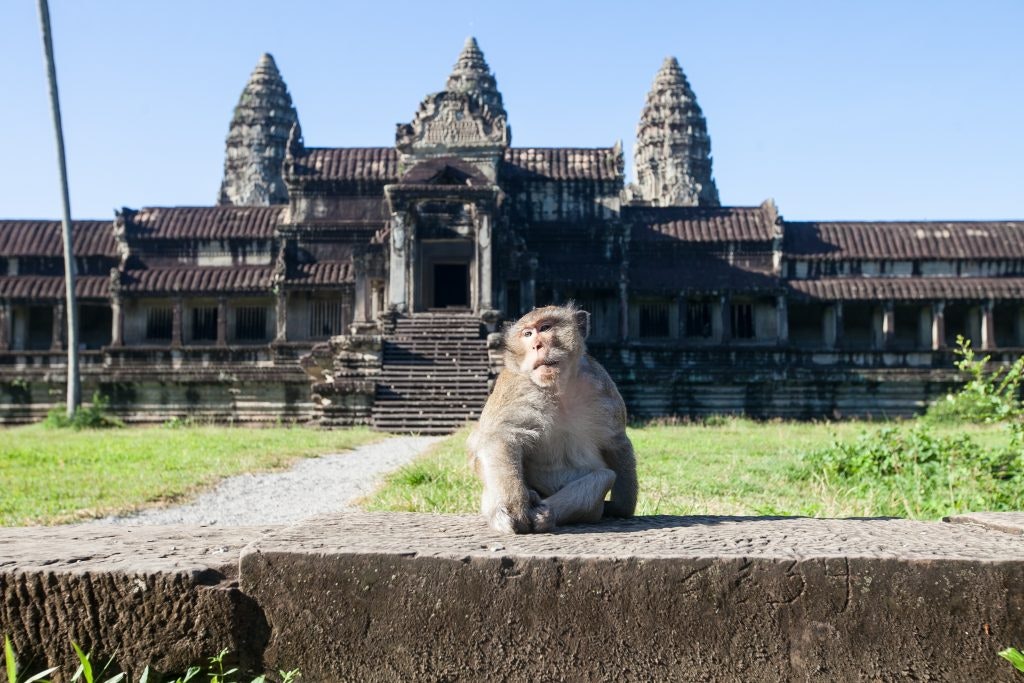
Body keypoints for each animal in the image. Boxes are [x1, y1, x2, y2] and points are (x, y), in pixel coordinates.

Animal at [468, 303, 638, 534]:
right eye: (527, 334)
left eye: (545, 327)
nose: (536, 345)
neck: (558, 388)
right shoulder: (516, 388)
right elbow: (501, 436)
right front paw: (512, 507)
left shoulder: (603, 388)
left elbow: (616, 443)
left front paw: (622, 508)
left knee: (604, 476)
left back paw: (546, 514)